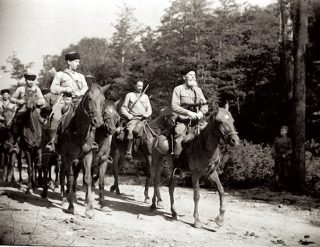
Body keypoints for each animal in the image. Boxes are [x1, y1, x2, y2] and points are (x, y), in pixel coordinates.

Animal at [55, 83, 109, 218]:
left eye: (103, 100)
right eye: (89, 99)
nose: (98, 121)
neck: (78, 131)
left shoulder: (87, 155)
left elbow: (88, 179)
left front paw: (89, 209)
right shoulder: (68, 156)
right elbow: (69, 178)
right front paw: (71, 206)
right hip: (63, 158)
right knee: (64, 175)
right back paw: (65, 199)